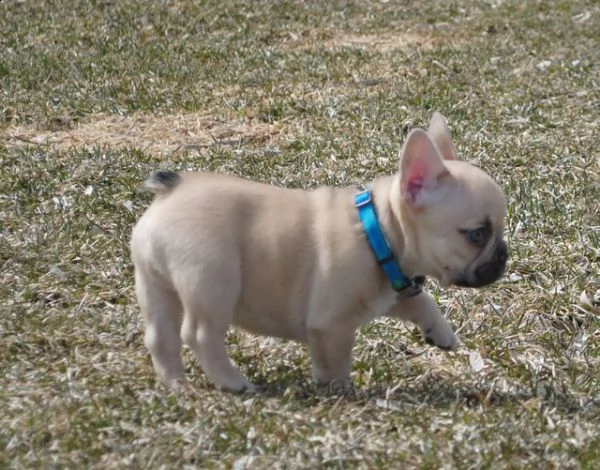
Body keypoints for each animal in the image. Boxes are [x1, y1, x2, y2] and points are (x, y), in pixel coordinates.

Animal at [130, 112, 506, 392]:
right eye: (476, 234)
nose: (503, 254)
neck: (380, 231)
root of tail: (170, 193)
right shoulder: (332, 323)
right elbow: (336, 361)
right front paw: (340, 392)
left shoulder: (393, 292)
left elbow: (422, 302)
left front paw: (442, 334)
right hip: (213, 282)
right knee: (199, 334)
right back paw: (234, 383)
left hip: (154, 283)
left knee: (160, 337)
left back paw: (177, 385)